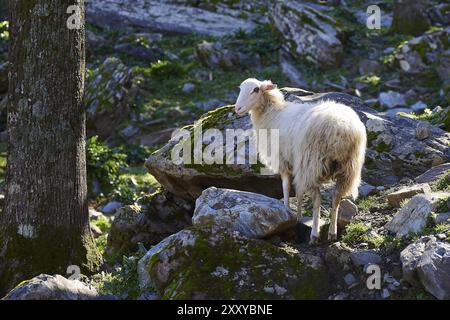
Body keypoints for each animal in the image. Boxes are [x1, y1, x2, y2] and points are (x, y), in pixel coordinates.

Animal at [234, 79, 368, 244]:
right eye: (240, 89)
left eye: (256, 89)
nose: (237, 109)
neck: (272, 113)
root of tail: (342, 129)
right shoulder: (296, 163)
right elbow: (298, 191)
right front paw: (297, 217)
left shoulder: (284, 161)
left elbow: (286, 187)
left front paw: (286, 210)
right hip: (348, 167)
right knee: (336, 196)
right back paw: (332, 233)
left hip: (312, 162)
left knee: (317, 199)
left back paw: (315, 235)